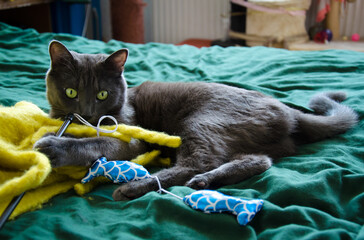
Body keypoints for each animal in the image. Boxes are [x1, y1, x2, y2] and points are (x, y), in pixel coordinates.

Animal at [34, 40, 358, 201]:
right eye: (71, 92)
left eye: (102, 94)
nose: (87, 112)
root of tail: (288, 110)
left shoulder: (131, 140)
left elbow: (94, 143)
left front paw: (53, 147)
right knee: (258, 160)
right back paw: (206, 181)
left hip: (202, 122)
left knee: (196, 162)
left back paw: (134, 188)